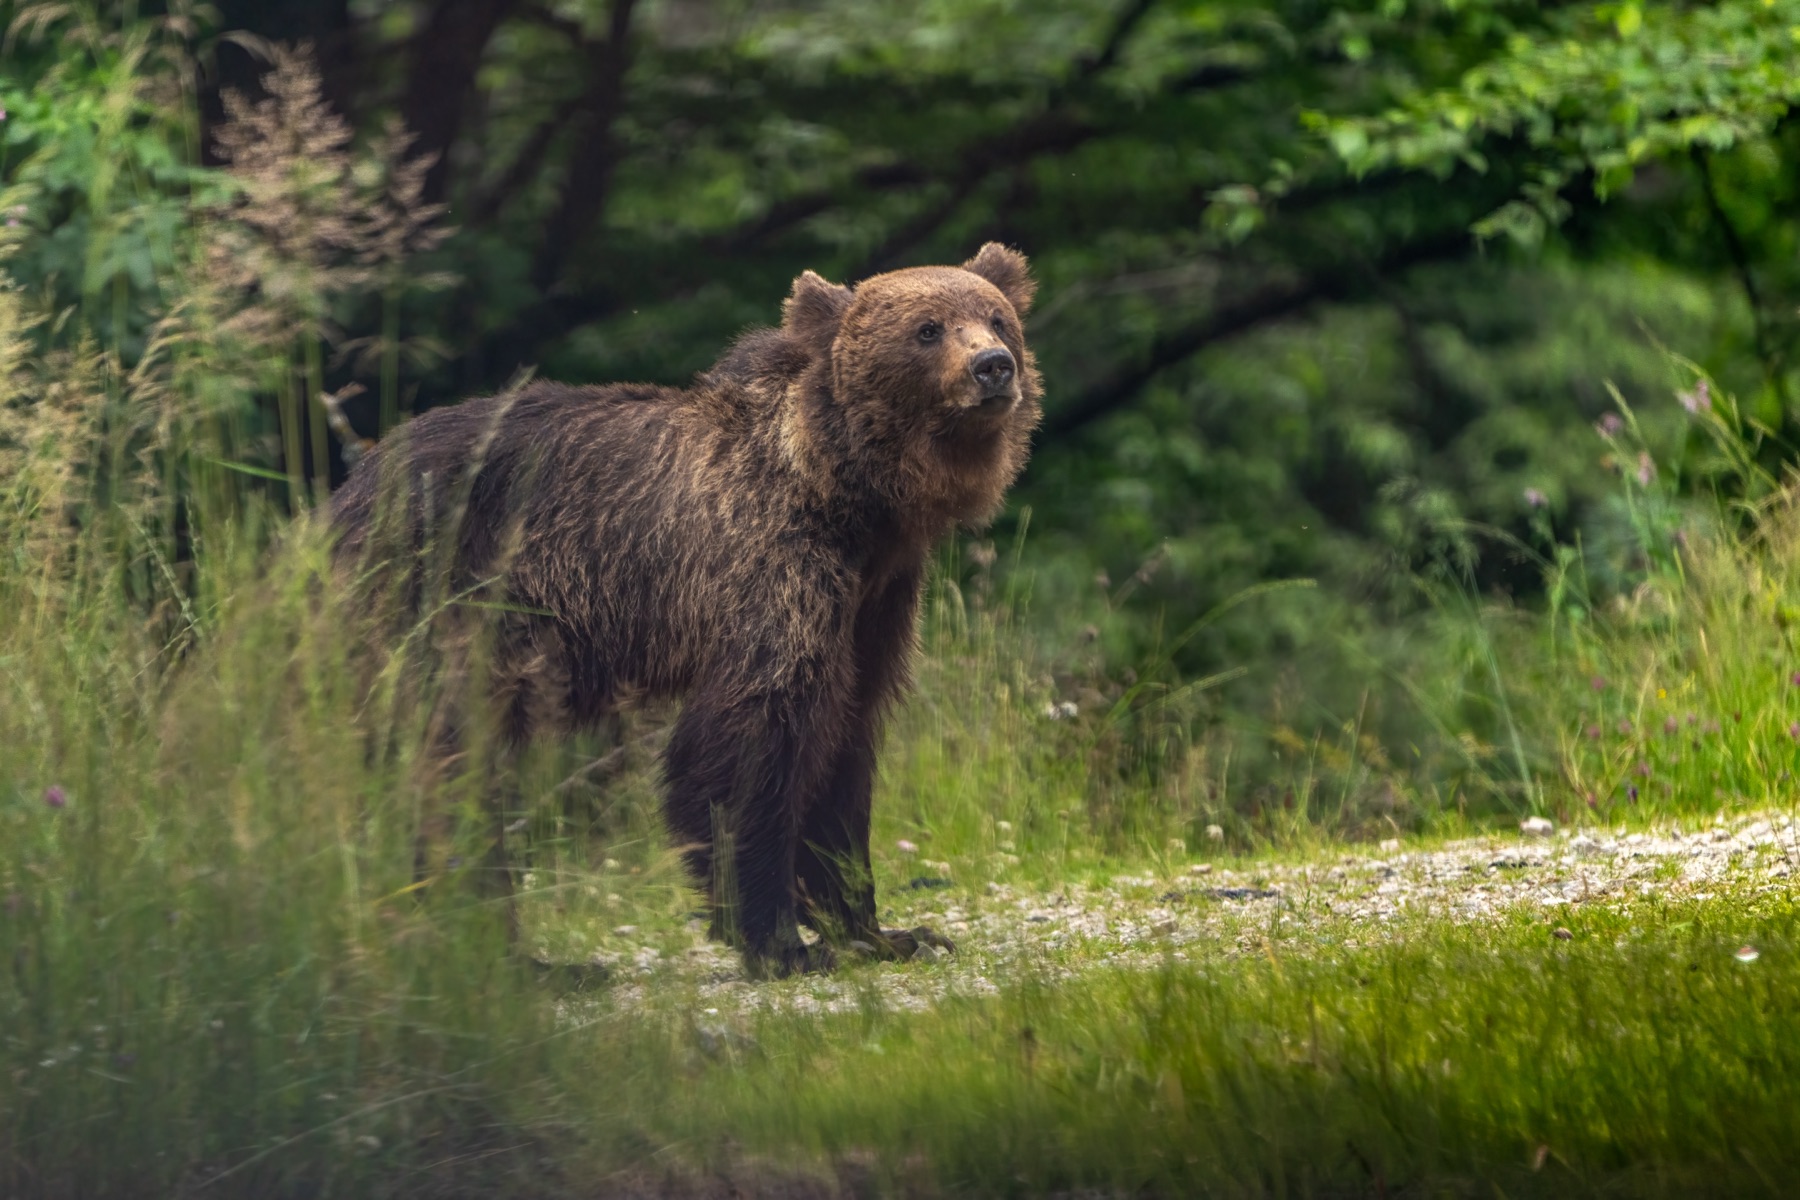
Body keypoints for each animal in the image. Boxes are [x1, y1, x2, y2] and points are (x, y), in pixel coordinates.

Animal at [330, 243, 1041, 977]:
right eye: (928, 329)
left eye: (997, 317)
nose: (993, 366)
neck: (849, 494)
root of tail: (348, 489)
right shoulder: (770, 570)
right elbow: (747, 743)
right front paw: (780, 941)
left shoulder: (875, 603)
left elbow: (844, 747)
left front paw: (885, 930)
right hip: (442, 602)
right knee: (441, 767)